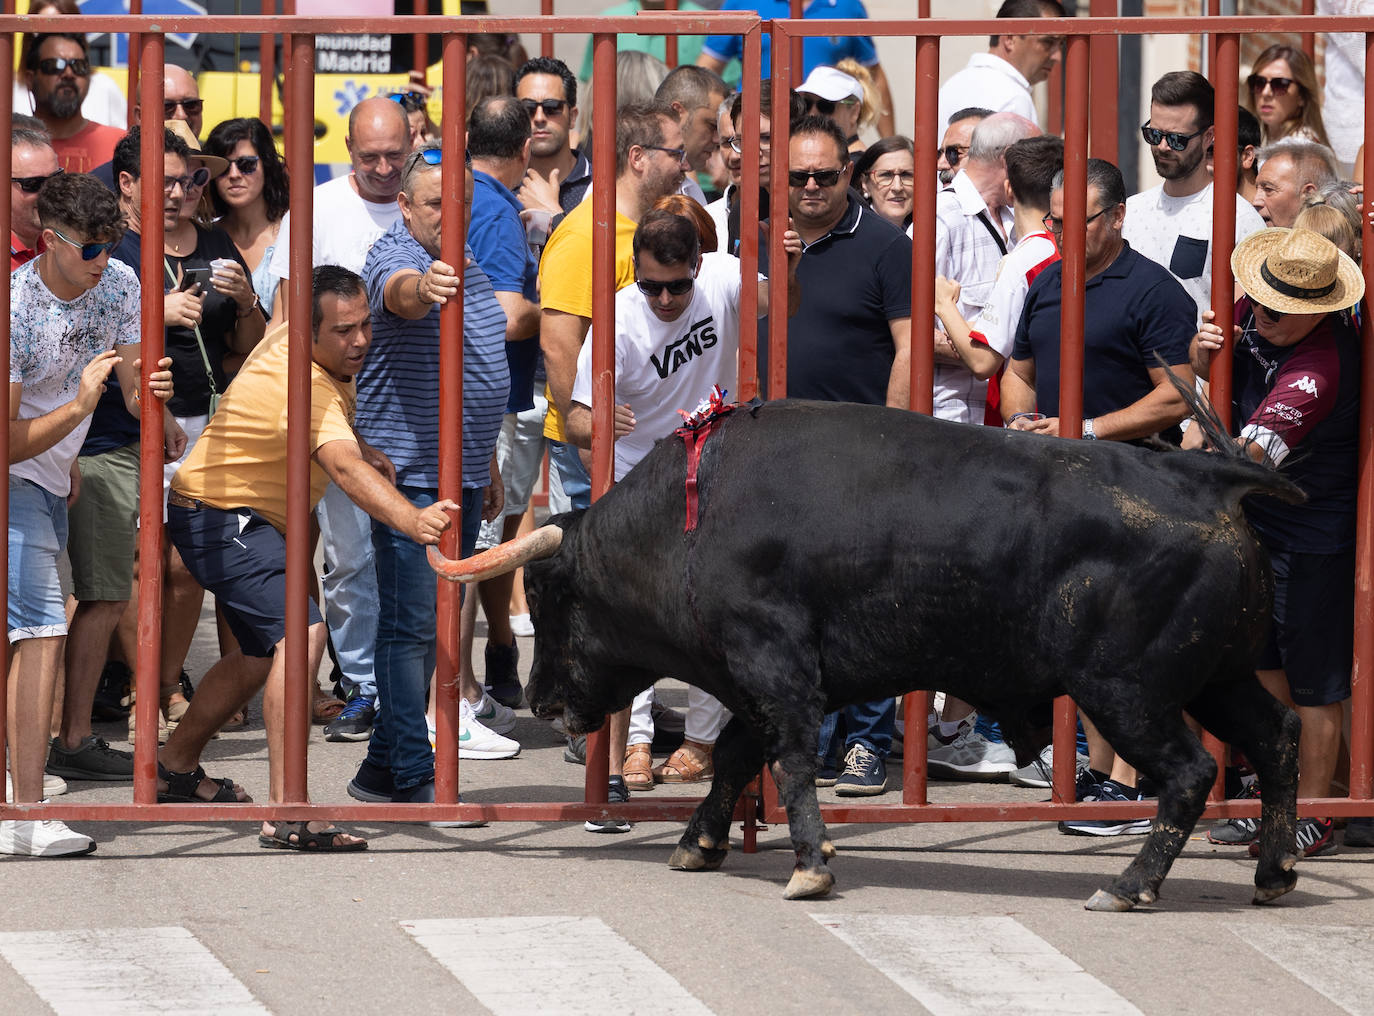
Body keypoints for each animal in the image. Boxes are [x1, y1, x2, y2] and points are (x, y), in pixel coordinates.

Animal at [434, 398, 1302, 912]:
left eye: (546, 592)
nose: (543, 702)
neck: (688, 523)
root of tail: (1201, 477)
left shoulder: (776, 671)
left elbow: (782, 761)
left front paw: (808, 866)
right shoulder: (769, 679)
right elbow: (738, 759)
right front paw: (698, 844)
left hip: (1128, 693)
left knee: (1191, 772)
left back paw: (1128, 885)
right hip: (1219, 678)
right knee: (1279, 736)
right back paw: (1273, 873)